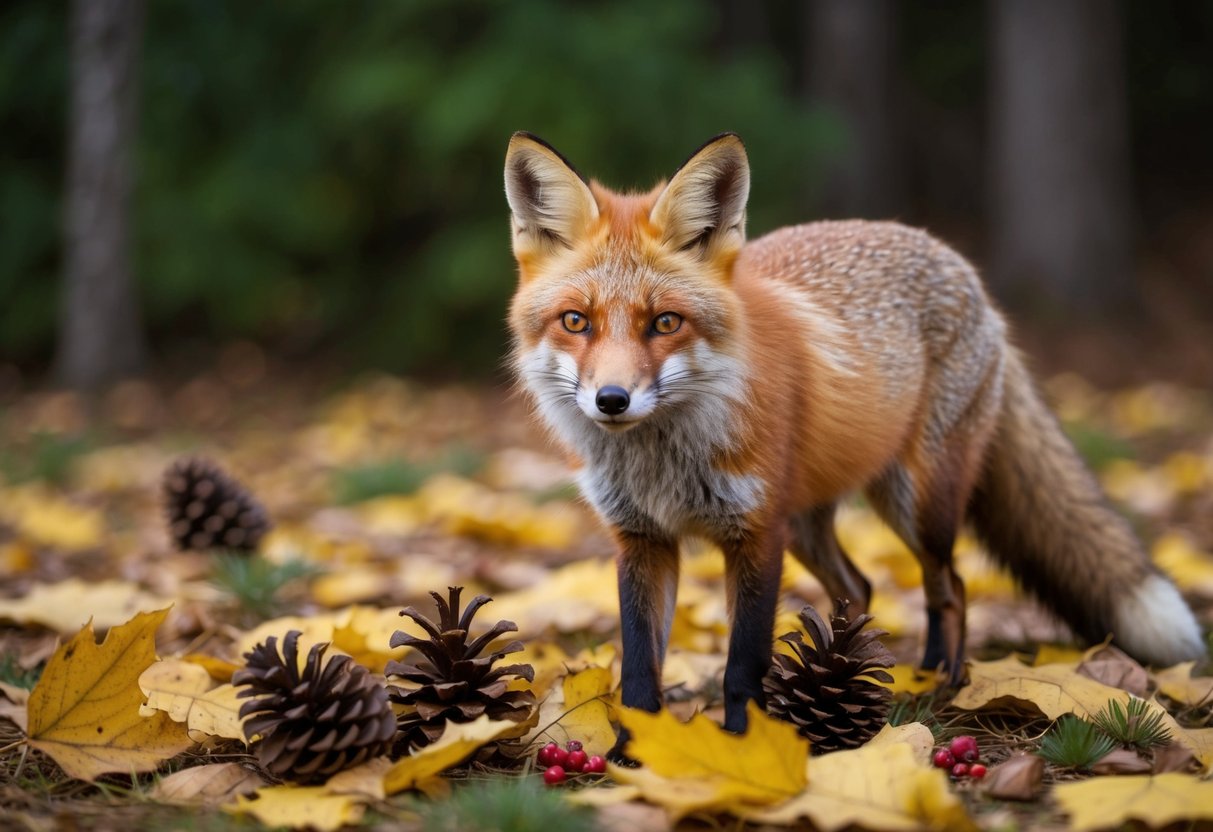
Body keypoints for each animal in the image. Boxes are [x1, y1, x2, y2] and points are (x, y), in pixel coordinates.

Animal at [502, 131, 1205, 754]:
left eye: (665, 322)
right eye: (576, 322)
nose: (611, 400)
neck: (662, 462)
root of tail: (957, 262)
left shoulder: (756, 535)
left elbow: (741, 664)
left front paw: (744, 751)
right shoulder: (642, 540)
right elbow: (640, 670)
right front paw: (634, 755)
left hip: (915, 504)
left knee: (950, 586)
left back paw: (936, 678)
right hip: (810, 525)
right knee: (862, 588)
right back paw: (851, 662)